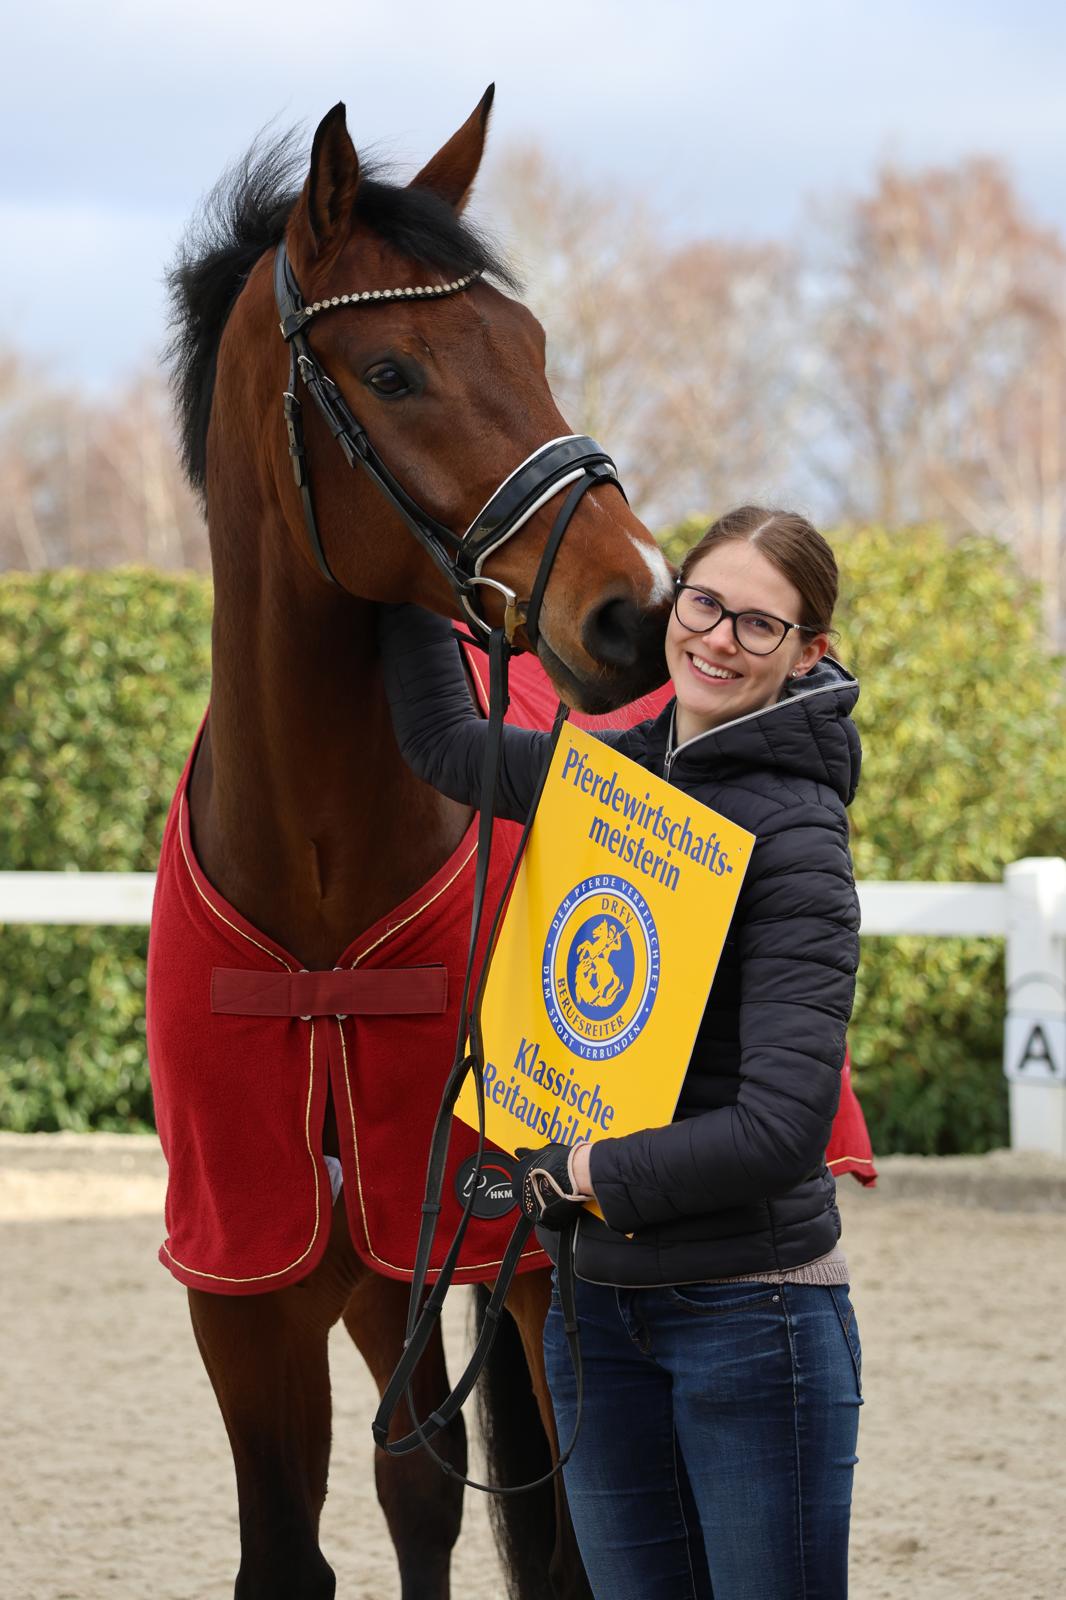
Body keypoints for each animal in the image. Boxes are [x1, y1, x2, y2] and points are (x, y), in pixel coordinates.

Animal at [153, 88, 674, 1600]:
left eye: (532, 349)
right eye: (390, 372)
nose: (635, 606)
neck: (321, 889)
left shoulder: (462, 1250)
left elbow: (460, 1512)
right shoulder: (247, 1277)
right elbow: (291, 1546)